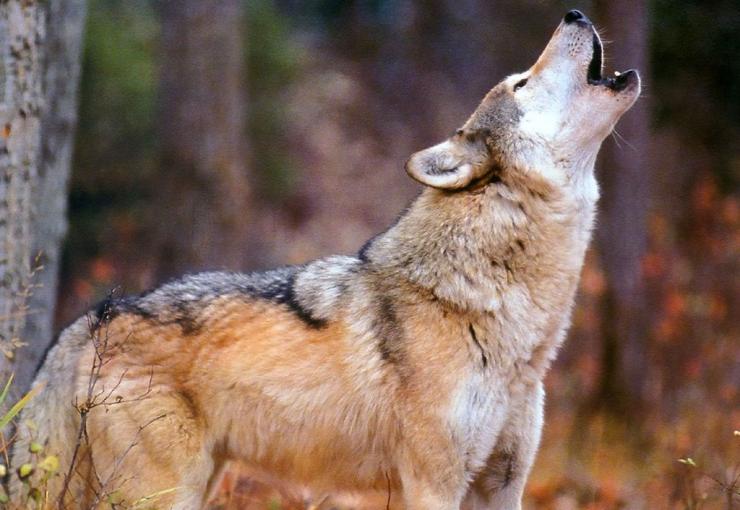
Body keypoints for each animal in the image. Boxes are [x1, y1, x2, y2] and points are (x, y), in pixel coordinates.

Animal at [11, 8, 640, 510]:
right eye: (520, 82)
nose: (575, 12)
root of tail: (86, 323)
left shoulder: (502, 484)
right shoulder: (433, 485)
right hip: (164, 494)